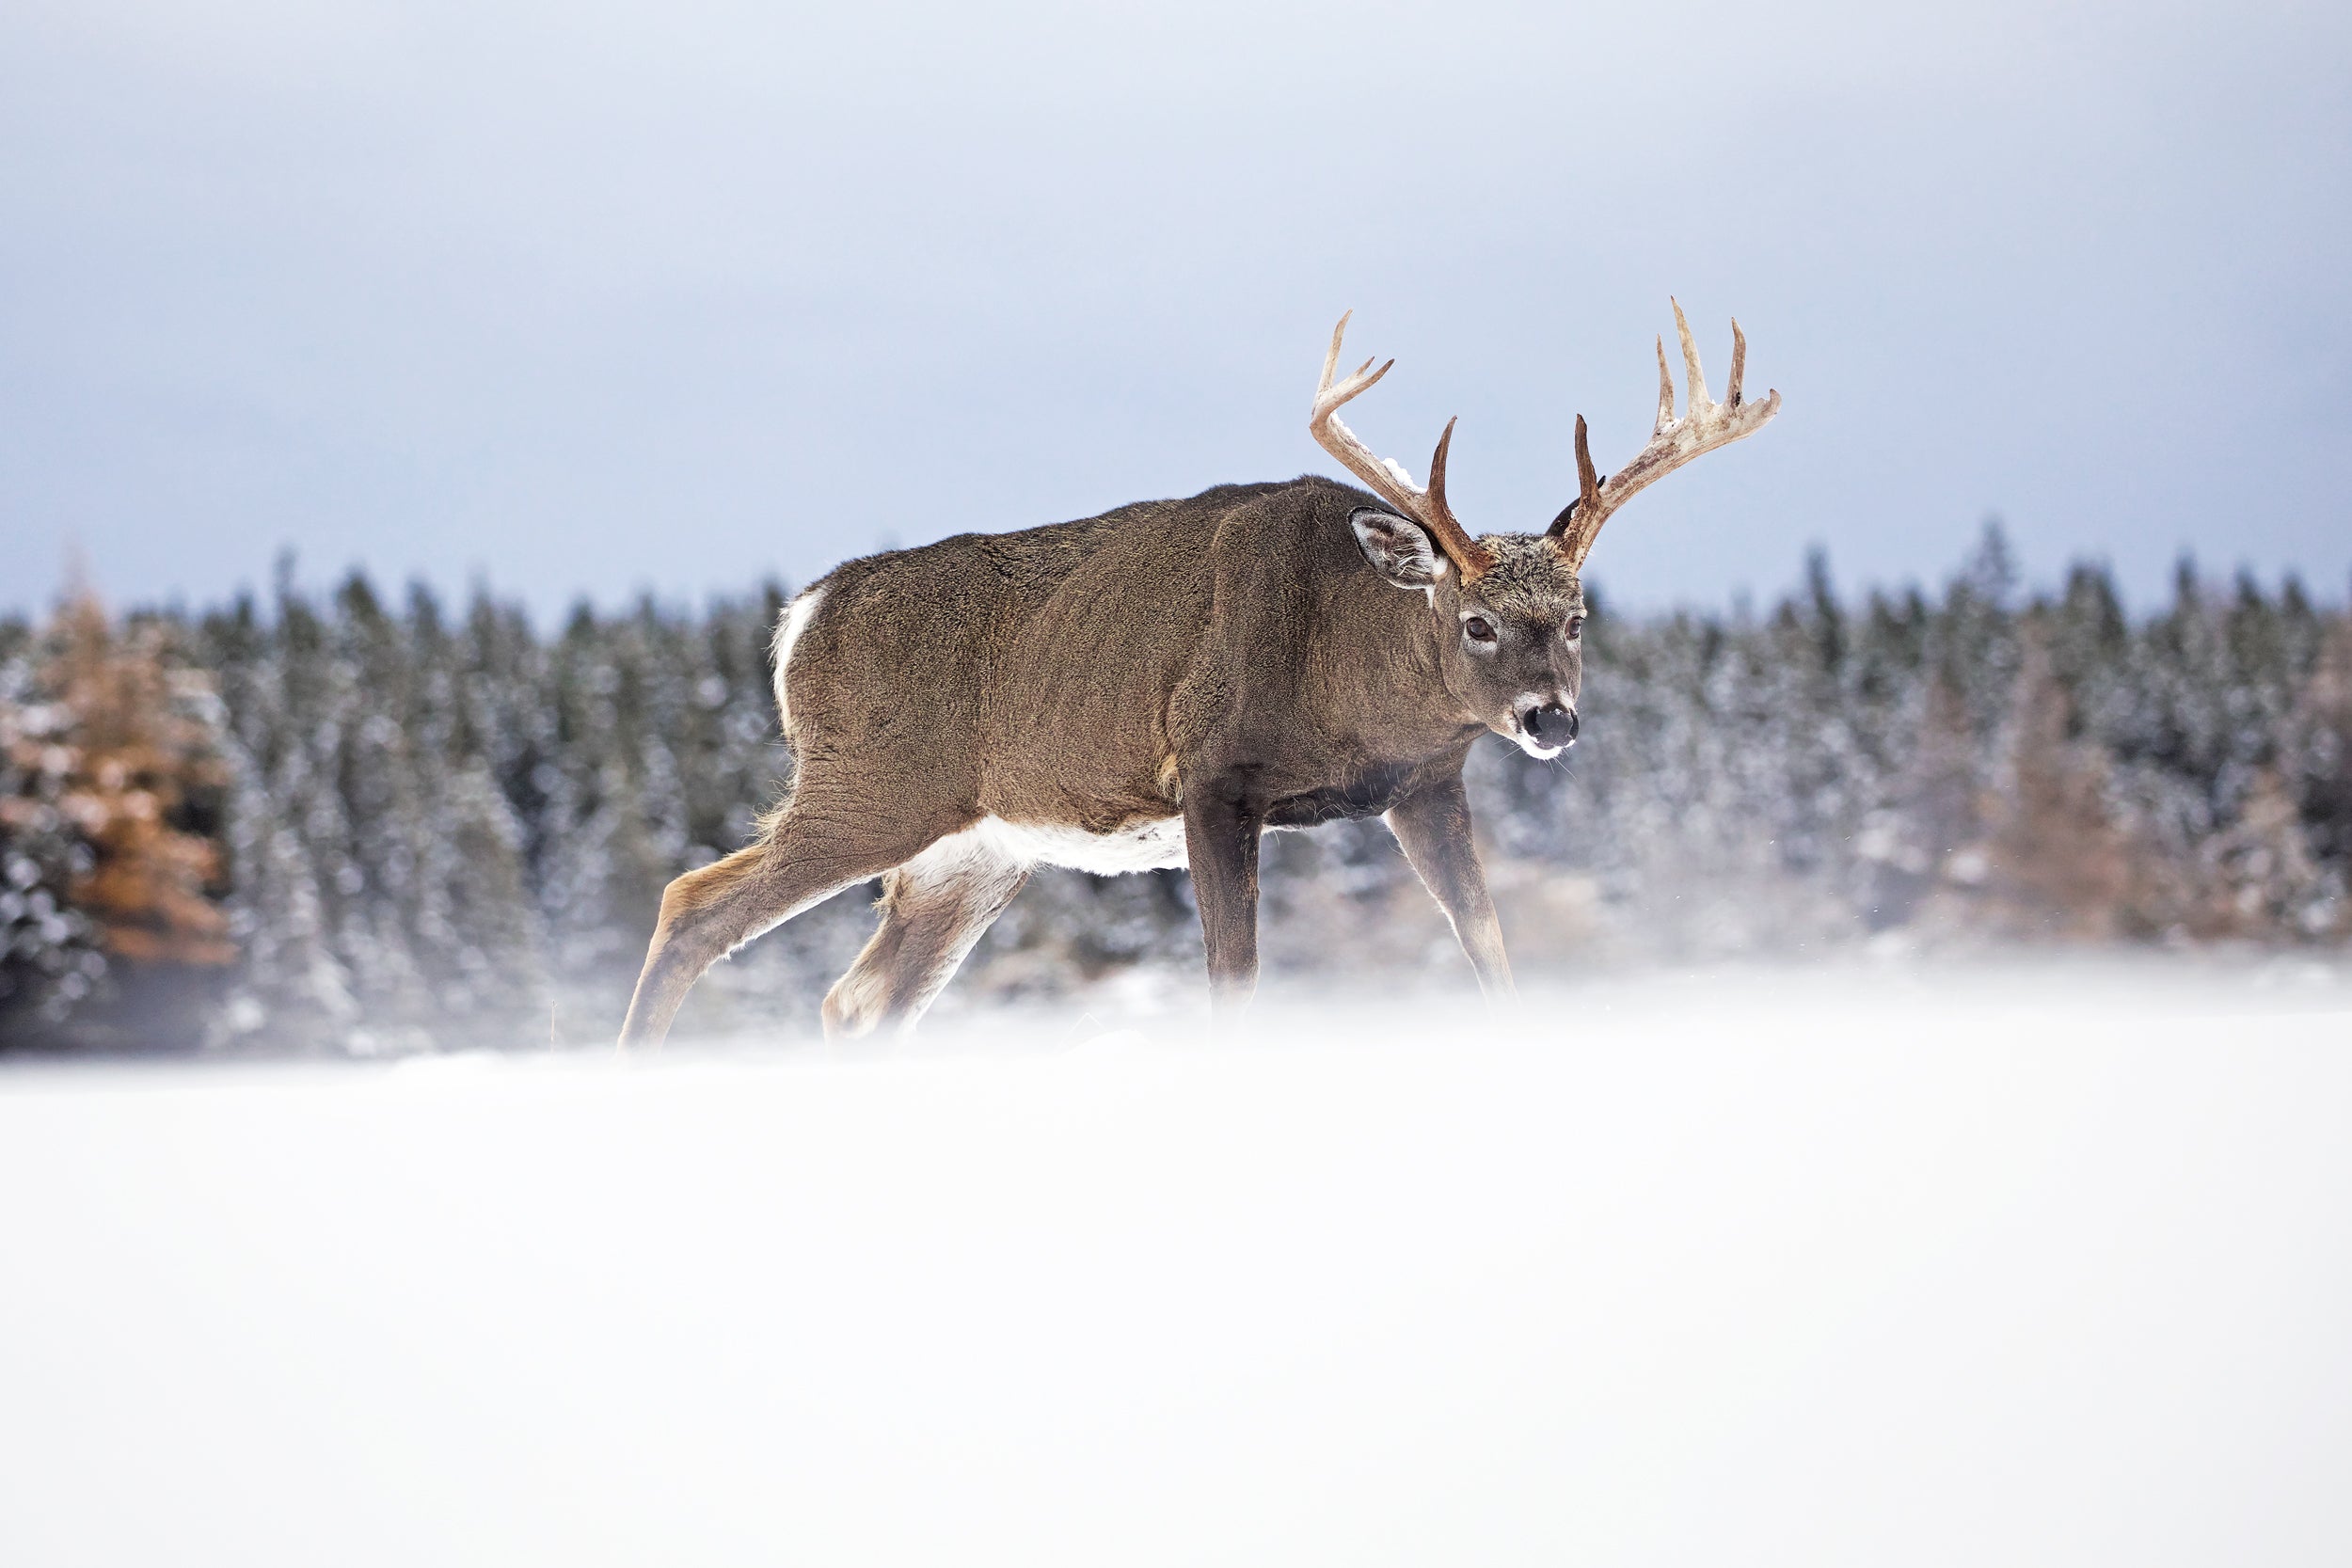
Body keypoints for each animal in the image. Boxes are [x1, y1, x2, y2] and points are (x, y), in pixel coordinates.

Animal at [618, 302, 1779, 1047]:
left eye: (1578, 618)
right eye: (1478, 621)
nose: (1551, 720)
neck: (1346, 669)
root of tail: (800, 617)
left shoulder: (1423, 786)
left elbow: (1488, 945)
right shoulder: (1216, 771)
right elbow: (1235, 974)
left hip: (973, 854)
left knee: (857, 998)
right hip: (871, 786)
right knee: (691, 904)